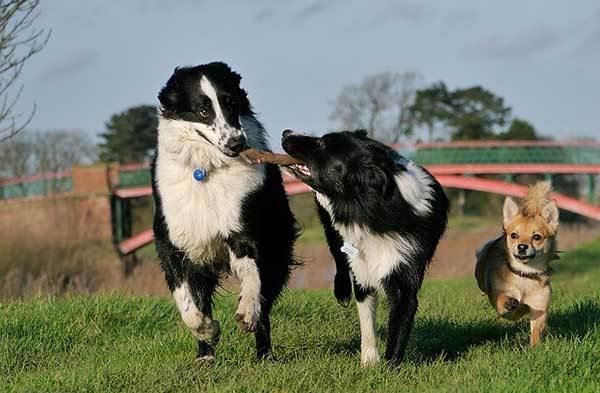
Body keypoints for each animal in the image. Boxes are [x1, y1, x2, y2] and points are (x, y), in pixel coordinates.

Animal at [152, 62, 298, 362]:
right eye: (203, 110)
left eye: (231, 103)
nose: (237, 143)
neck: (207, 169)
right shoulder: (172, 242)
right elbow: (188, 304)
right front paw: (208, 331)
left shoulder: (244, 230)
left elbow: (252, 278)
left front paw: (246, 313)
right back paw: (205, 356)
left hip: (277, 244)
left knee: (265, 300)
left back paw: (264, 354)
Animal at [280, 129, 446, 364]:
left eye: (324, 143)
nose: (286, 132)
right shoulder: (361, 266)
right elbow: (367, 322)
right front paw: (369, 362)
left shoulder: (406, 272)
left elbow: (399, 324)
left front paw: (391, 366)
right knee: (339, 257)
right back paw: (342, 292)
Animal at [476, 181, 560, 346]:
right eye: (514, 235)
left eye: (537, 237)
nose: (522, 247)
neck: (524, 273)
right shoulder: (502, 306)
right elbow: (503, 301)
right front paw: (510, 302)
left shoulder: (540, 308)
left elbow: (536, 330)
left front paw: (534, 347)